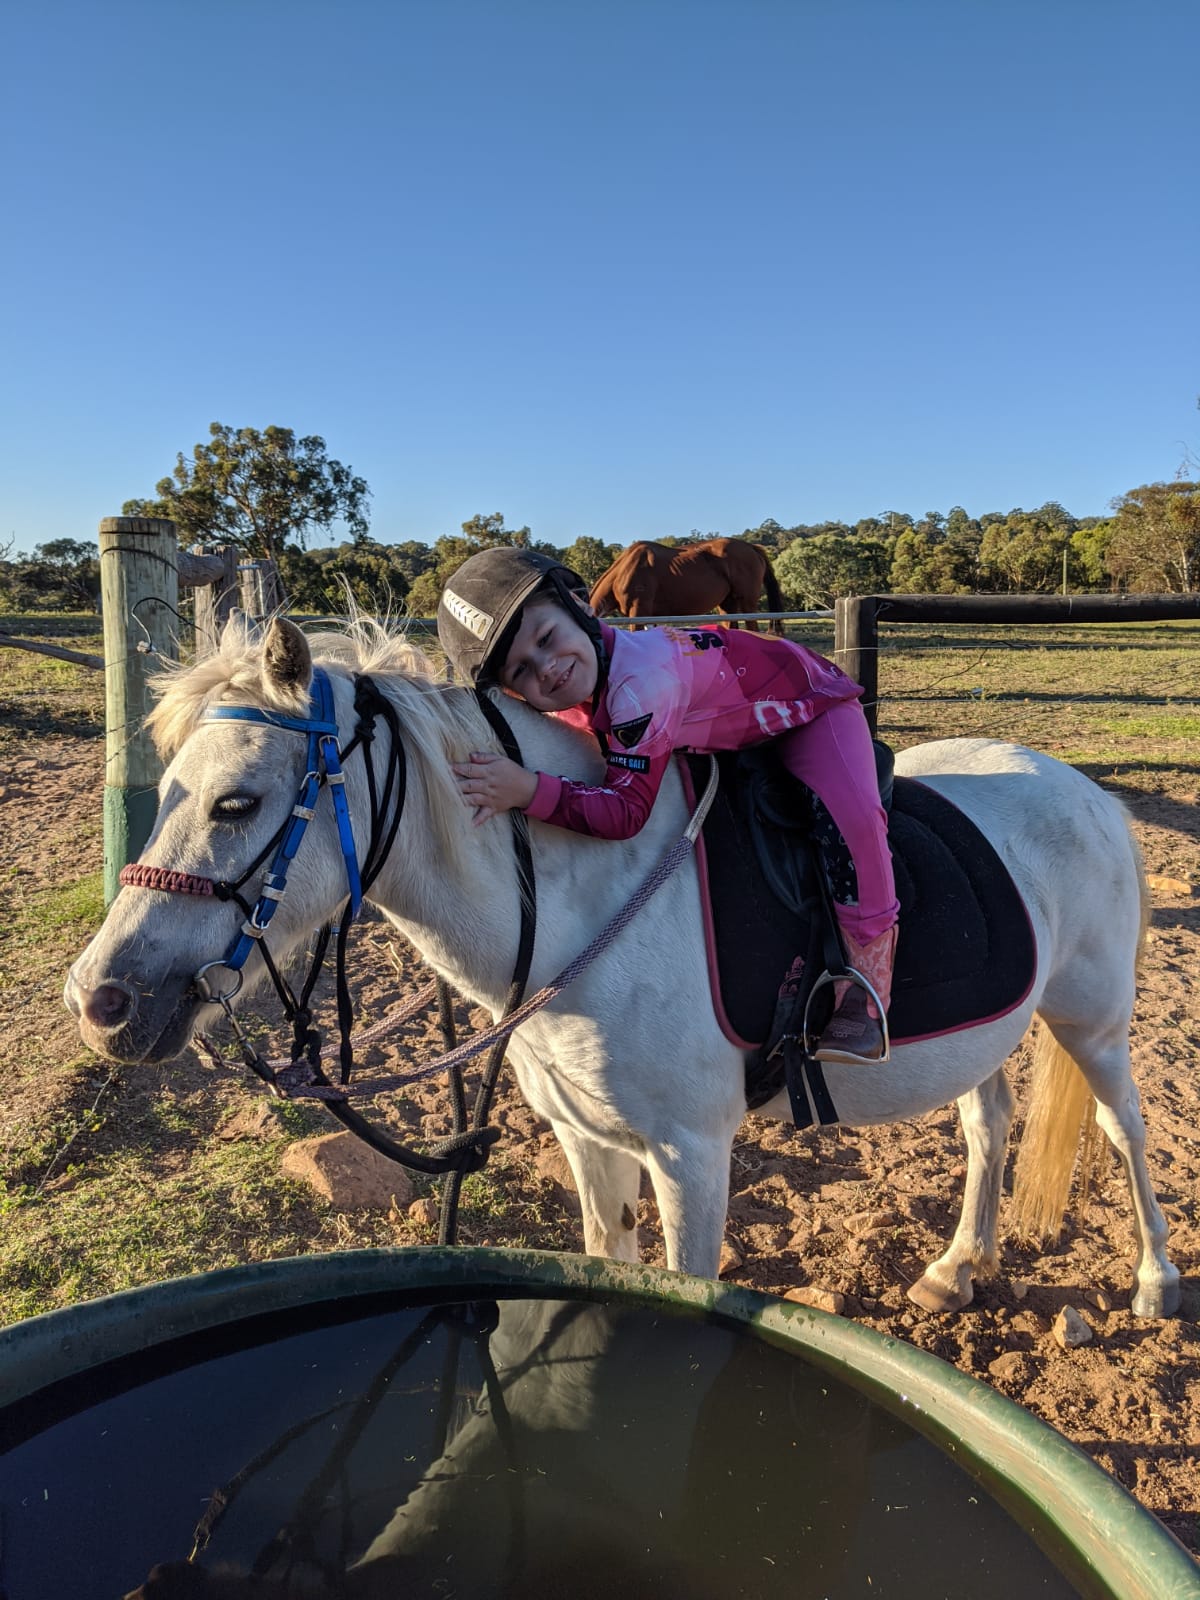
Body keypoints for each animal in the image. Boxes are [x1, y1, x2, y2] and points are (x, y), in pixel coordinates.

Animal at [68, 617, 1184, 1318]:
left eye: (238, 803)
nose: (101, 998)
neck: (578, 905)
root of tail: (1084, 789)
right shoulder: (588, 1138)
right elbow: (610, 1257)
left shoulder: (692, 1155)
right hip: (989, 1032)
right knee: (988, 1124)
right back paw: (960, 1265)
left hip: (1093, 1021)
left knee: (1126, 1128)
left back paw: (1156, 1280)